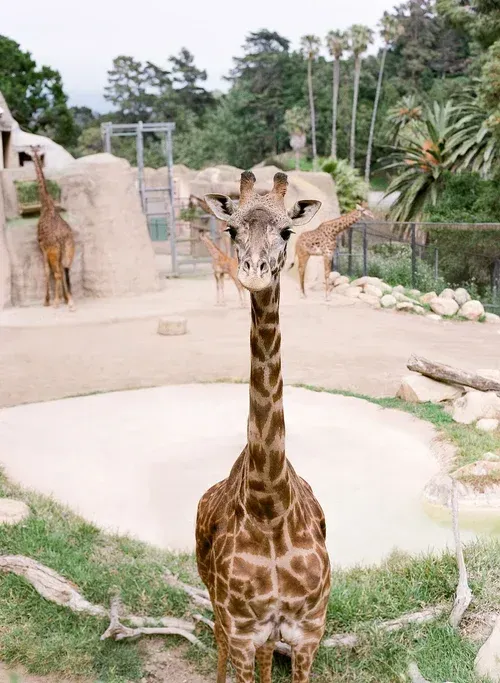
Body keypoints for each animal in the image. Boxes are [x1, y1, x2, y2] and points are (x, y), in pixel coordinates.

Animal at [30, 146, 76, 310]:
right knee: (66, 269)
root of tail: (62, 237)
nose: (32, 158)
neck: (46, 204)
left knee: (58, 273)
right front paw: (64, 298)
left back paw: (57, 302)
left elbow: (46, 271)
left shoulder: (43, 248)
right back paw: (70, 300)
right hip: (68, 249)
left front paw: (47, 301)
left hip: (55, 251)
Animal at [197, 171, 331, 683]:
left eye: (286, 231)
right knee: (216, 643)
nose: (254, 272)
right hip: (214, 600)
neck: (269, 506)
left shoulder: (308, 629)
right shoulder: (241, 628)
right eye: (232, 229)